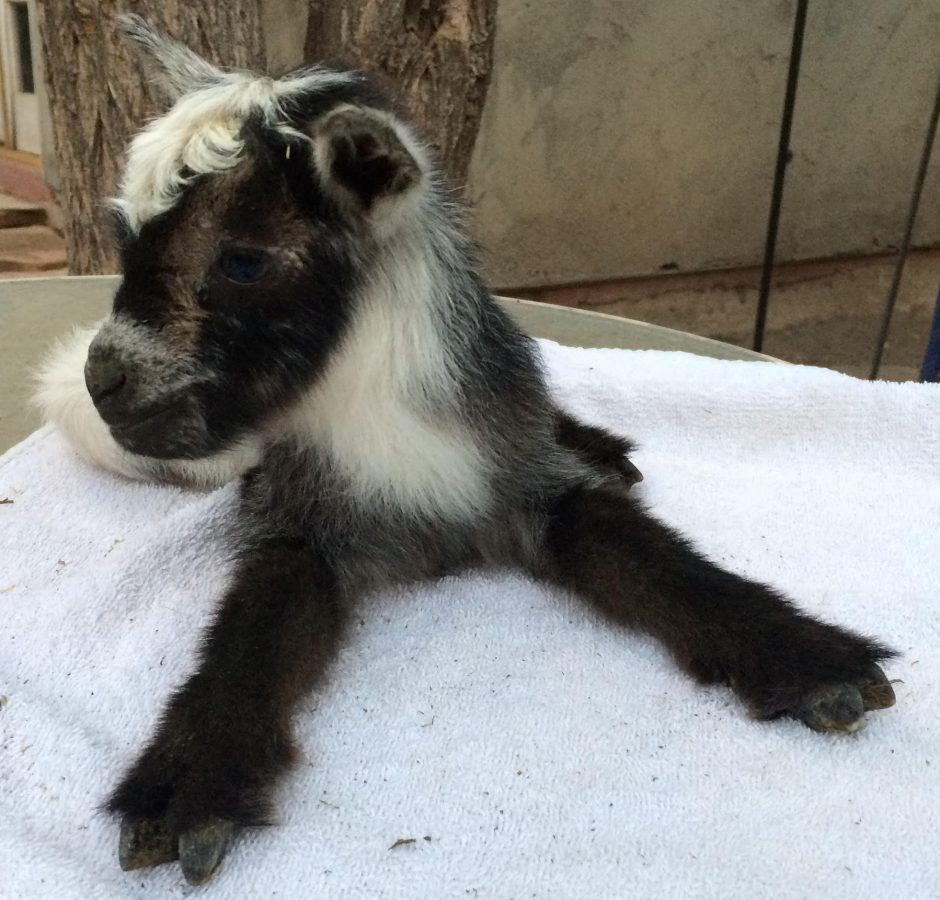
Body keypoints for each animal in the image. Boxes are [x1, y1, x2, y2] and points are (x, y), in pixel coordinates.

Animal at [37, 16, 896, 886]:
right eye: (122, 239)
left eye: (243, 260)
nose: (105, 380)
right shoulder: (291, 516)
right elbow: (251, 637)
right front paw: (191, 784)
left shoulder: (523, 475)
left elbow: (652, 555)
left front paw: (805, 657)